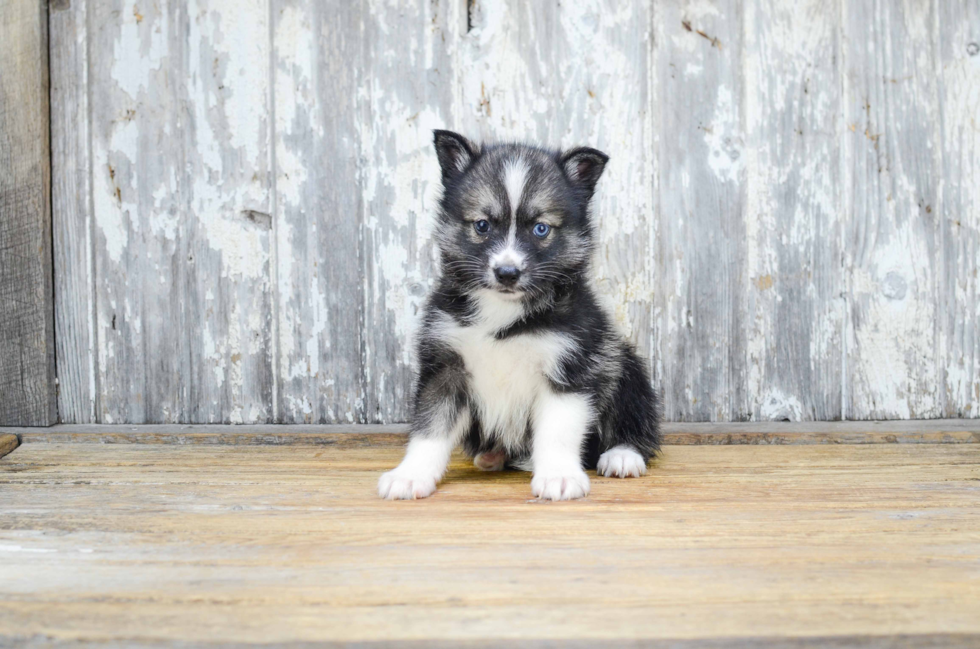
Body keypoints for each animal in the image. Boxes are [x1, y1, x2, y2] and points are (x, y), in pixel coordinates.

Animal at [378, 130, 664, 502]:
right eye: (482, 225)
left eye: (540, 229)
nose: (507, 272)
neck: (503, 310)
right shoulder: (445, 366)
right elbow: (430, 428)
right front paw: (411, 475)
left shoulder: (570, 367)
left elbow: (557, 431)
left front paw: (558, 475)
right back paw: (494, 454)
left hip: (623, 364)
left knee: (634, 419)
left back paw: (622, 454)